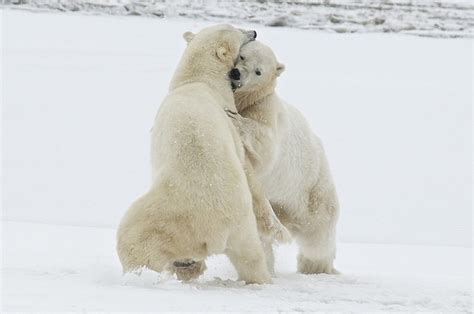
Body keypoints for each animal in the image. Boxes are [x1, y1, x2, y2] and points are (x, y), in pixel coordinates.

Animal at [116, 25, 286, 284]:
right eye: (237, 29)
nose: (254, 31)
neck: (200, 80)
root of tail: (216, 231)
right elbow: (246, 167)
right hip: (241, 229)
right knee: (250, 258)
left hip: (162, 214)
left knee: (133, 240)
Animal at [227, 40, 340, 274]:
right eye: (242, 56)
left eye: (258, 71)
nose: (236, 74)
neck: (248, 99)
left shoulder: (266, 109)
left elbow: (265, 144)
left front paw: (234, 118)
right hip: (280, 203)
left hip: (313, 192)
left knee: (318, 238)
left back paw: (316, 266)